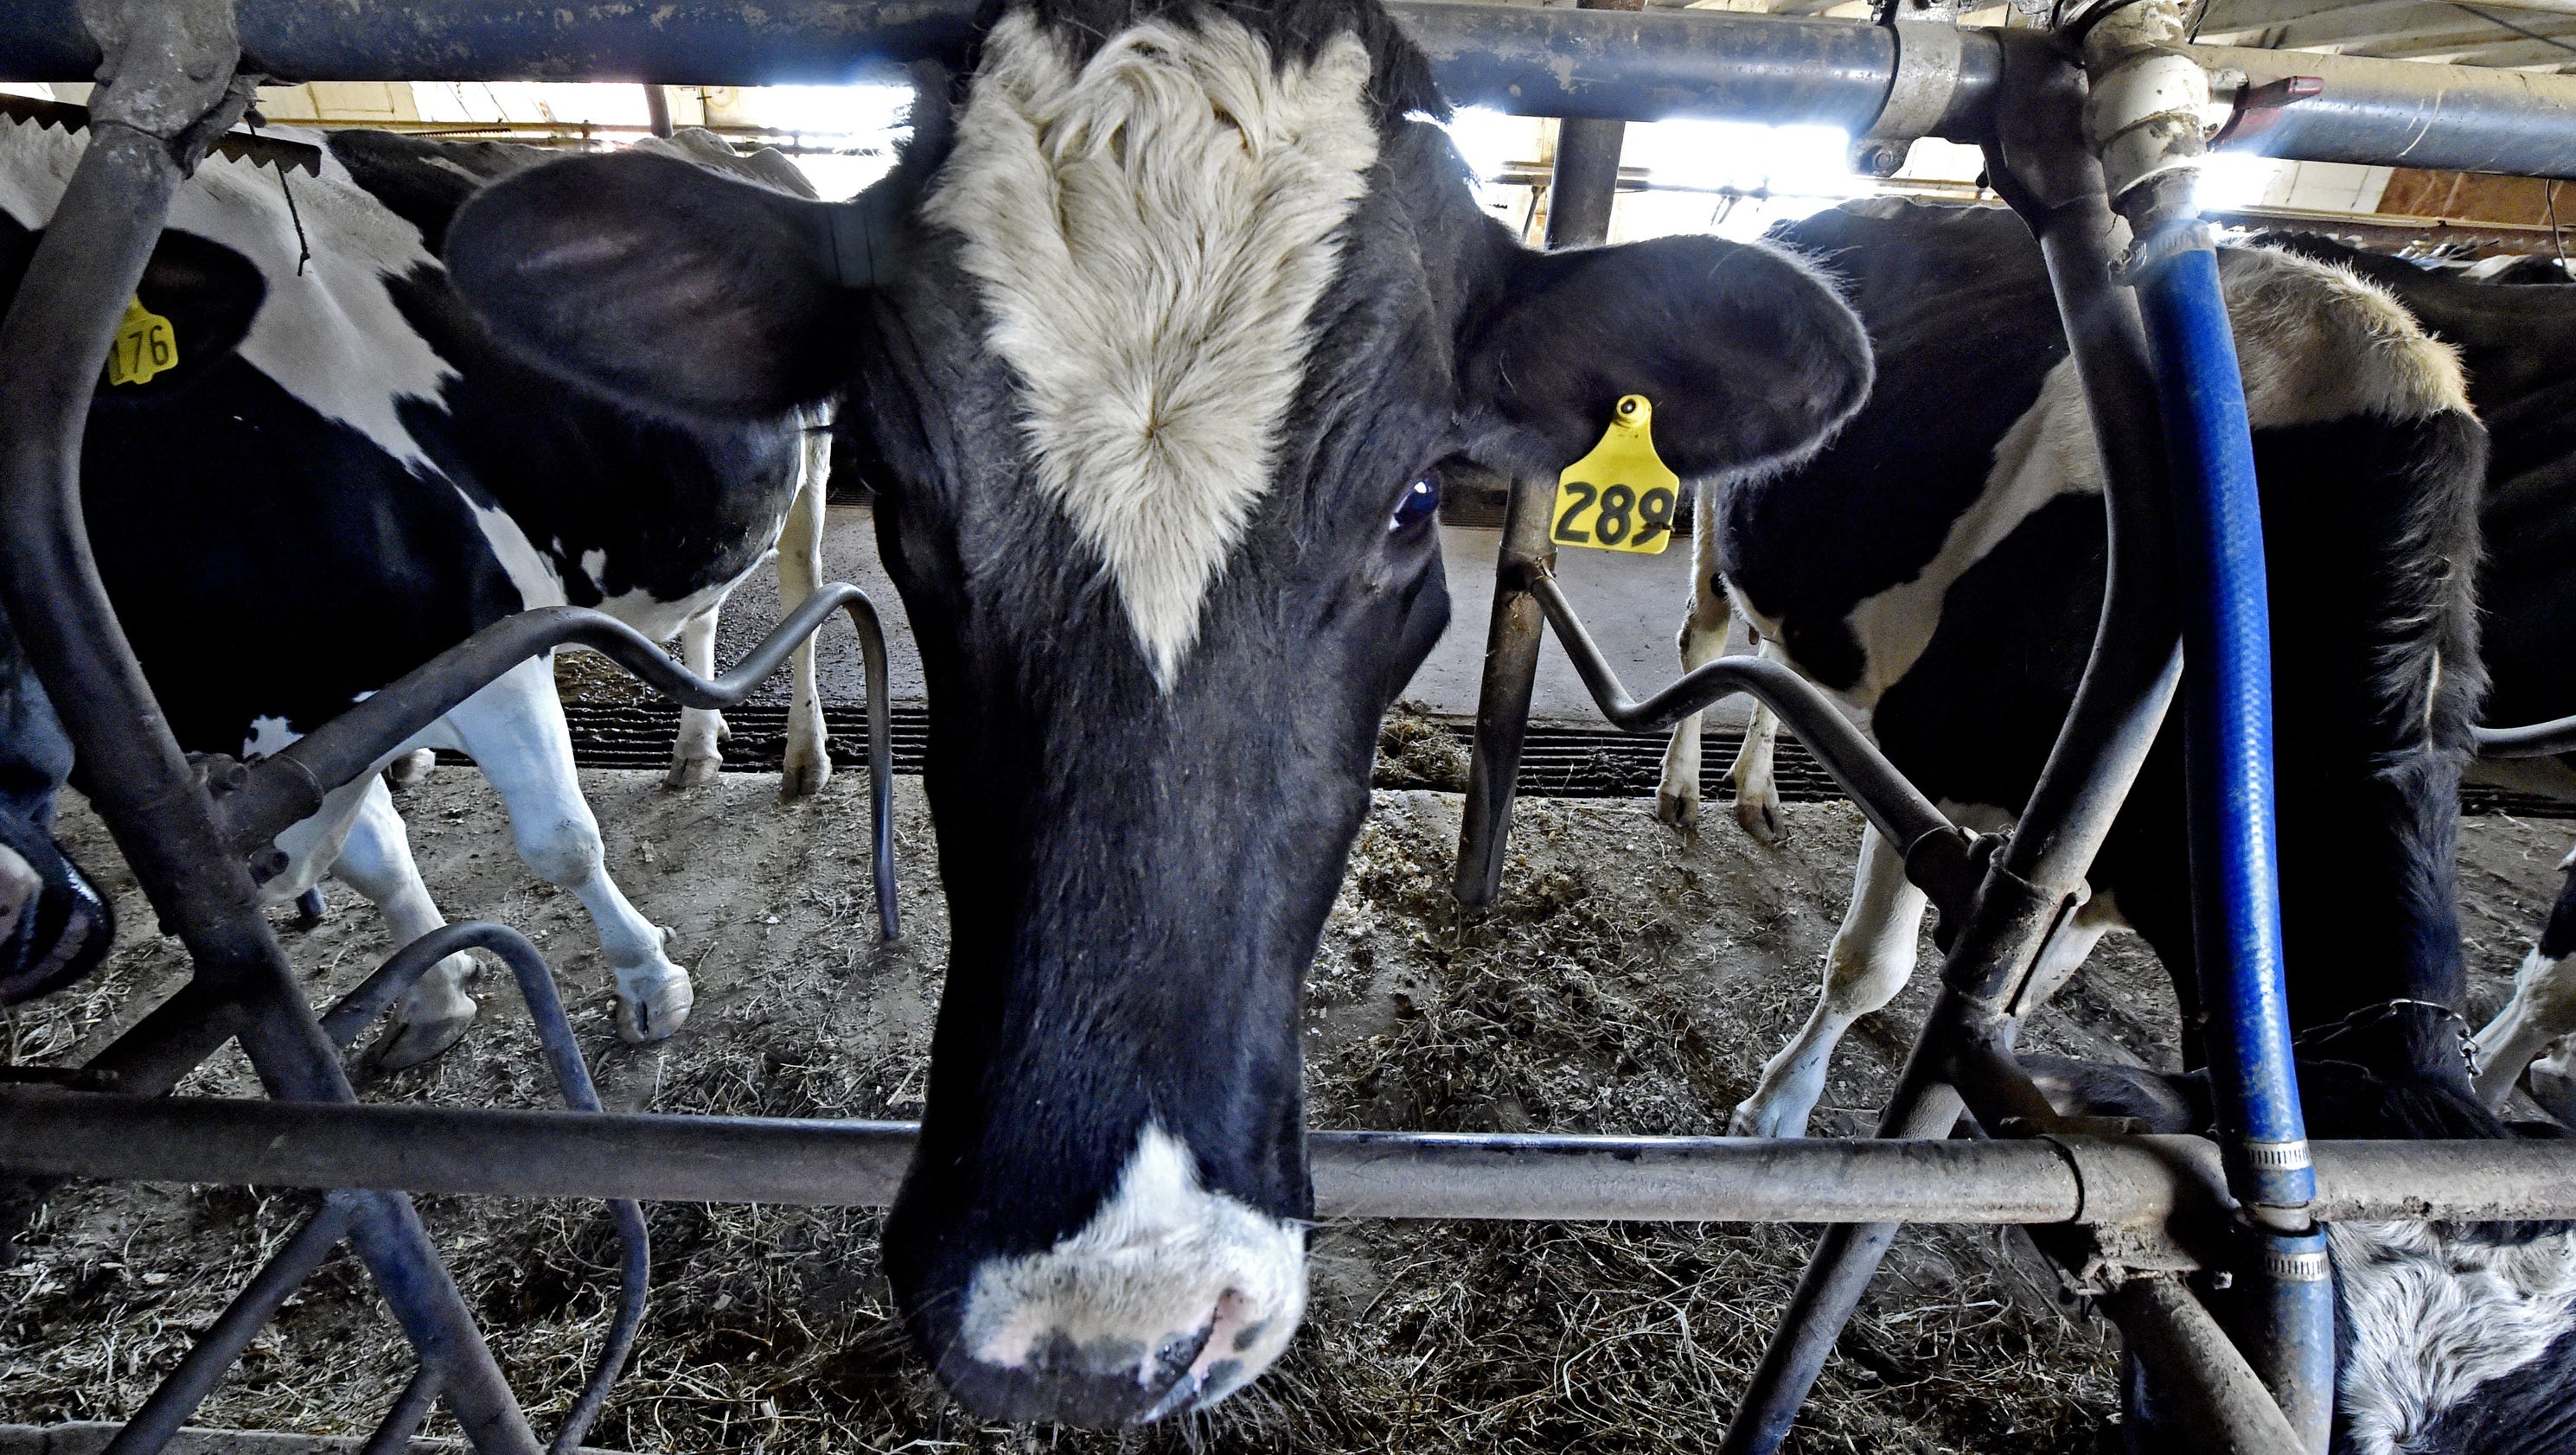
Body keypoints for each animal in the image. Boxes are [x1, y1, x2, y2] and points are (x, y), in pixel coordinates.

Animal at [0, 116, 841, 1067]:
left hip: (813, 459)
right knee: (703, 609)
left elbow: (561, 841)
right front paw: (437, 997)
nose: (11, 906)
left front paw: (649, 986)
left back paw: (804, 757)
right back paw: (695, 748)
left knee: (804, 589)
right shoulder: (306, 719)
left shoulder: (482, 643)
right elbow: (376, 858)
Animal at [1654, 198, 2576, 1452]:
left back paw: (1752, 785)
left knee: (1779, 670)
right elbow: (1871, 966)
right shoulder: (1940, 764)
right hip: (1721, 520)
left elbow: (2020, 987)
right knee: (1712, 641)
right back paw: (1684, 786)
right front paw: (1777, 1109)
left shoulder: (2118, 856)